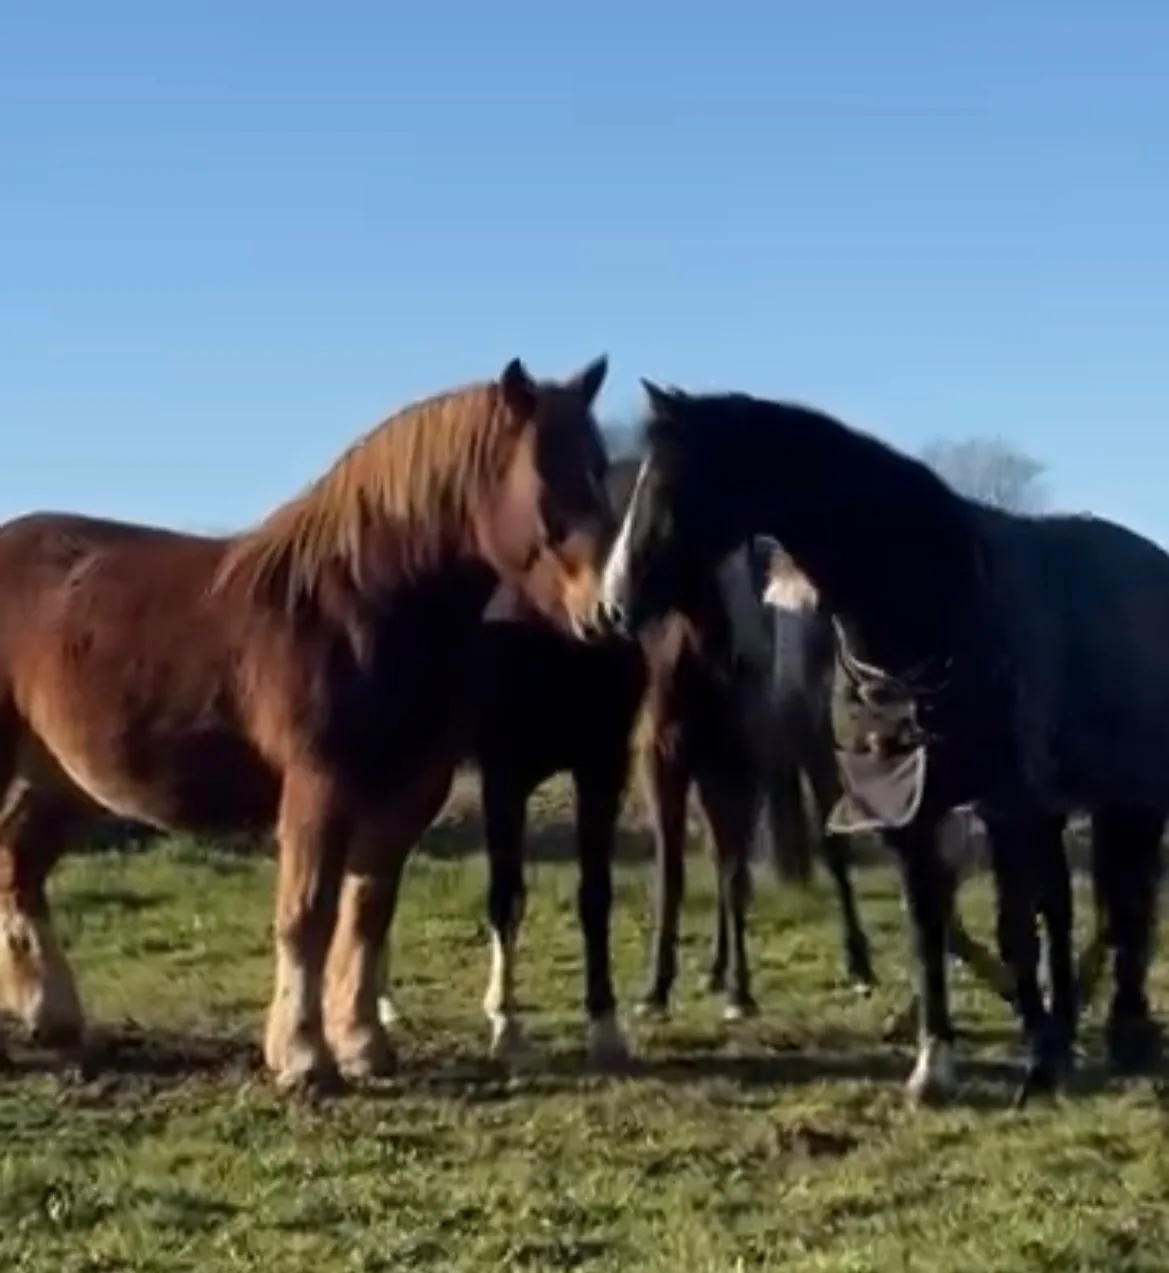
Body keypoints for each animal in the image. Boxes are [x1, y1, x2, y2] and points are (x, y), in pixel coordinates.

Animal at [0, 354, 614, 1093]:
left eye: (601, 469)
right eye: (546, 481)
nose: (607, 609)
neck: (360, 609)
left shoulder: (407, 795)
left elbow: (366, 913)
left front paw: (362, 1044)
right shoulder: (320, 785)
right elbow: (307, 914)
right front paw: (301, 1056)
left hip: (64, 776)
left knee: (20, 862)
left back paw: (53, 1015)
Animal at [588, 380, 1164, 1106]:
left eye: (666, 485)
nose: (611, 605)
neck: (936, 601)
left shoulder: (1004, 804)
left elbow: (1013, 928)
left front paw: (1039, 1062)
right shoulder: (910, 811)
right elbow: (928, 926)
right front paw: (935, 1063)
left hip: (1119, 797)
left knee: (1119, 902)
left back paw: (1114, 1029)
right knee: (1075, 906)